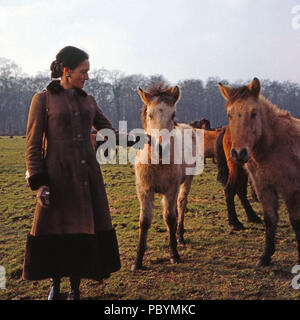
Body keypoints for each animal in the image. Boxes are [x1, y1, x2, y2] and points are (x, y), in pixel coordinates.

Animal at [131, 82, 197, 270]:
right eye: (149, 114)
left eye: (172, 114)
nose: (161, 148)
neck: (157, 162)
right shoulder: (144, 190)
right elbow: (144, 221)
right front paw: (137, 261)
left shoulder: (171, 189)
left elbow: (170, 218)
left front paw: (174, 254)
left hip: (187, 180)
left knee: (181, 204)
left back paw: (180, 236)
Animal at [218, 78, 300, 268]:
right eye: (229, 114)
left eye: (254, 113)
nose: (239, 153)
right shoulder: (264, 187)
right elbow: (270, 219)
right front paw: (265, 257)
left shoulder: (291, 190)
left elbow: (296, 222)